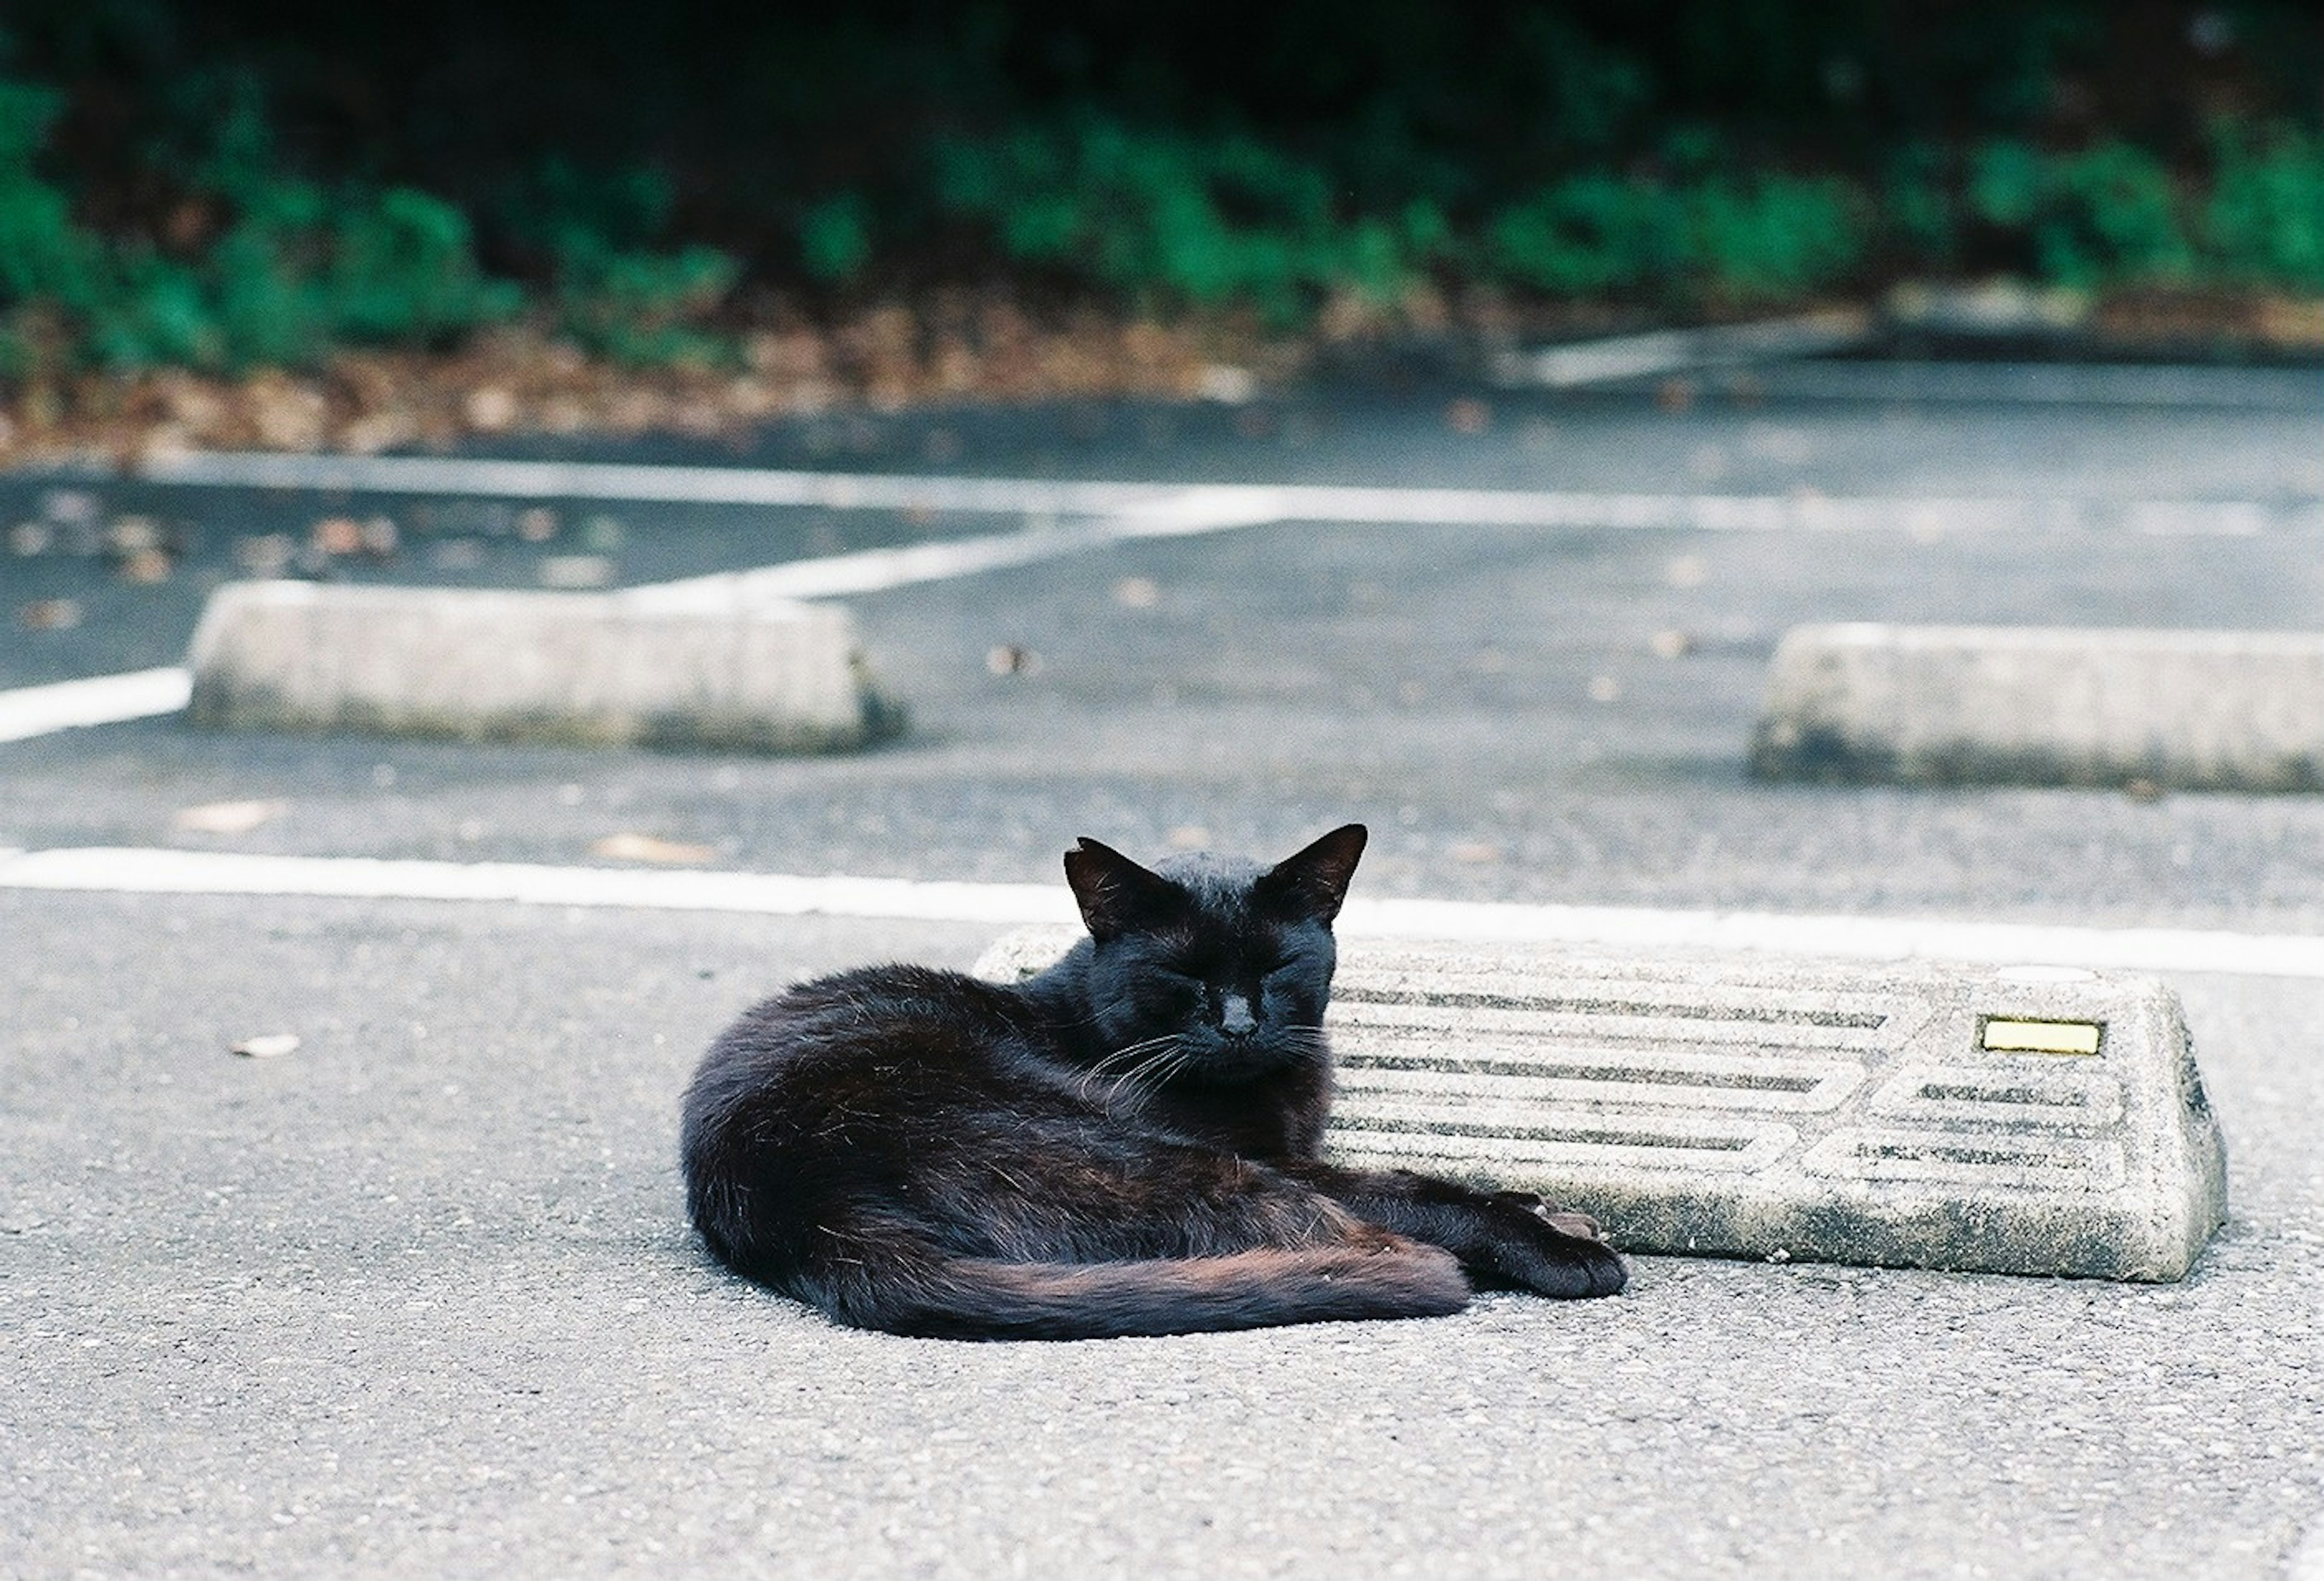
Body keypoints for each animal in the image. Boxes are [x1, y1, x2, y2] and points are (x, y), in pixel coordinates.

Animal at [678, 823, 1627, 1339]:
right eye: (1182, 976)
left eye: (1279, 966)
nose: (1239, 1024)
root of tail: (799, 1199)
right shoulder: (1278, 1158)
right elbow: (1413, 1186)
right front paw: (1557, 1239)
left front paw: (1545, 1205)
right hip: (1149, 1154)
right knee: (1344, 1230)